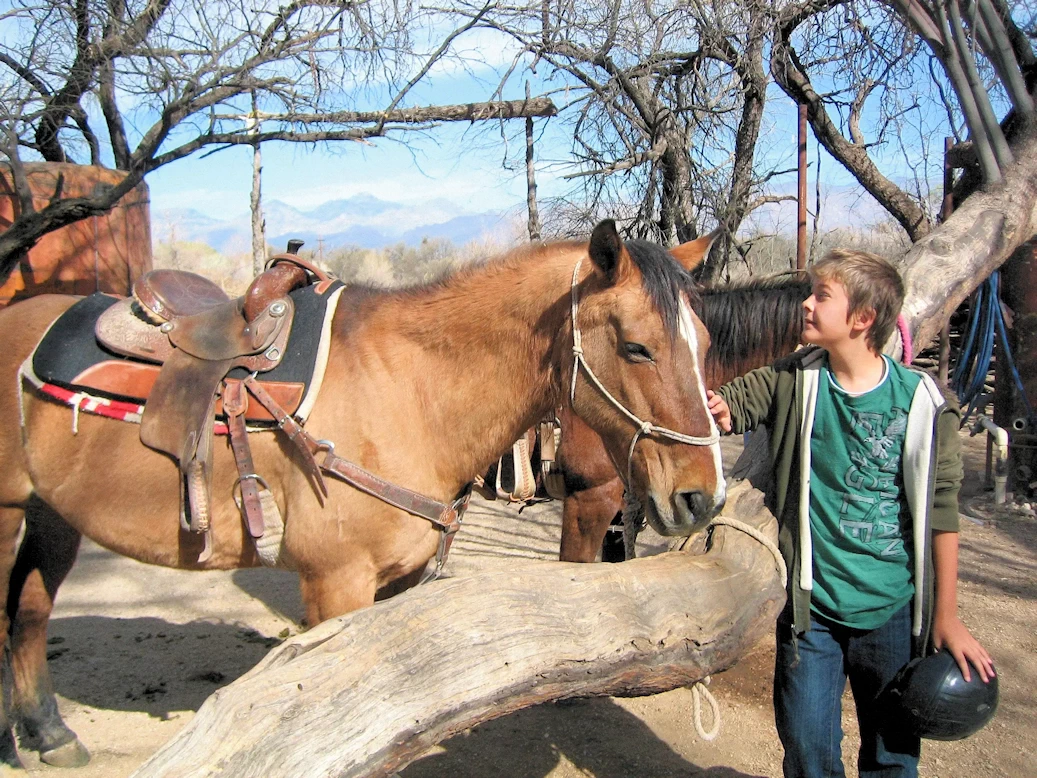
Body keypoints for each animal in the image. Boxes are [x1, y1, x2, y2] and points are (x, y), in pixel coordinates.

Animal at [0, 220, 725, 775]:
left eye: (708, 344)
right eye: (636, 347)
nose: (702, 498)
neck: (407, 387)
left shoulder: (396, 583)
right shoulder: (335, 586)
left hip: (52, 515)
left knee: (30, 612)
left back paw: (50, 734)